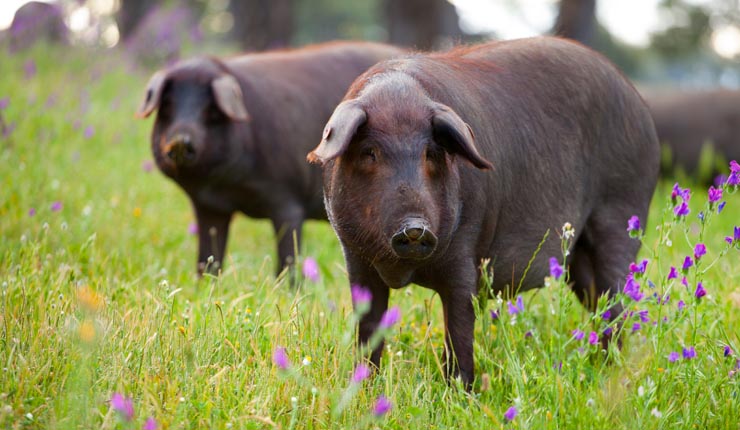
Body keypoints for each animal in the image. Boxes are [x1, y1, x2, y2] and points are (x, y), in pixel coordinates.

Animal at [137, 41, 404, 278]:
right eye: (167, 106)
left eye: (211, 110)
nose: (179, 141)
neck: (225, 187)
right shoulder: (209, 207)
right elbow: (208, 259)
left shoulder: (288, 201)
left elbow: (287, 261)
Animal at [308, 37, 660, 387]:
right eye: (370, 153)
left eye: (431, 153)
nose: (415, 228)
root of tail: (641, 109)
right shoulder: (355, 257)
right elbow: (368, 329)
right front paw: (364, 385)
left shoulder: (467, 251)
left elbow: (460, 327)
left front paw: (459, 390)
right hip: (578, 258)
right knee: (599, 305)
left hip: (621, 212)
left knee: (617, 302)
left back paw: (612, 373)